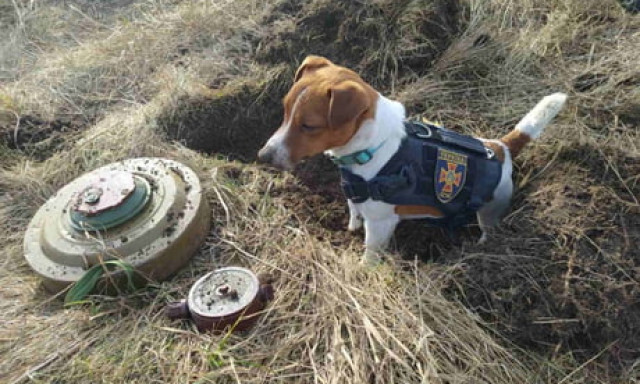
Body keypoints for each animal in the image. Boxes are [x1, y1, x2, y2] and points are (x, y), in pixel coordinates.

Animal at [258, 54, 568, 264]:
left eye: (309, 126)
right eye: (285, 111)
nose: (263, 156)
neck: (373, 146)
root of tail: (501, 147)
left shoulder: (381, 223)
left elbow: (371, 252)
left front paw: (363, 268)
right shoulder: (355, 195)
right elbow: (354, 211)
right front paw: (351, 227)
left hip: (491, 210)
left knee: (488, 229)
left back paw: (481, 246)